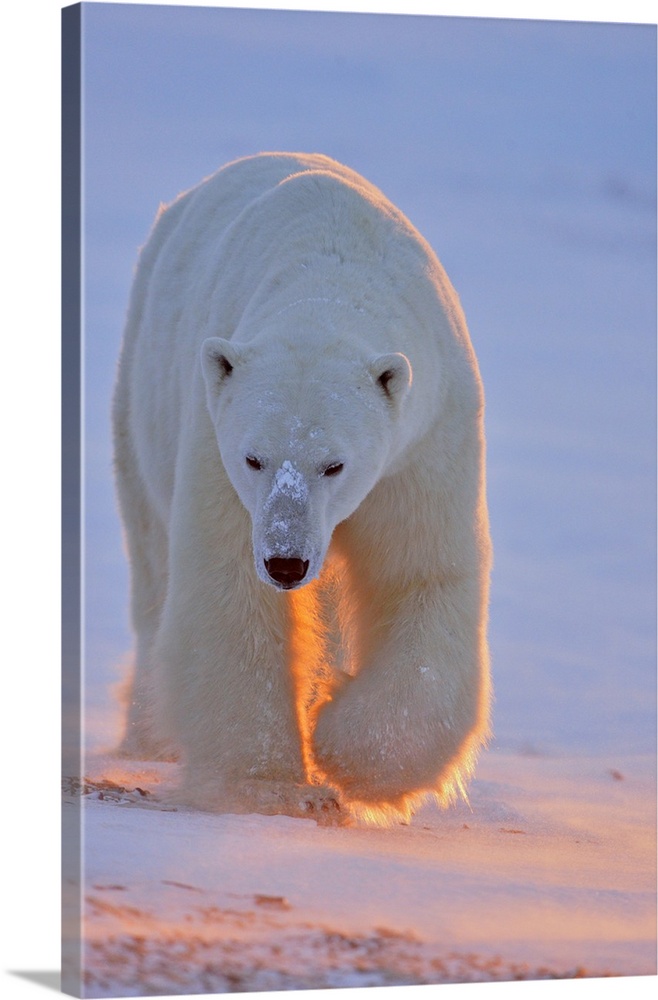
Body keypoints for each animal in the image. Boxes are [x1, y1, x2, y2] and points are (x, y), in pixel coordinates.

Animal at [113, 152, 490, 824]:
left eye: (334, 464)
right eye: (254, 458)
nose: (286, 563)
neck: (329, 279)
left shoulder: (425, 443)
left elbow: (419, 575)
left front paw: (347, 749)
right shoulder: (214, 440)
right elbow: (228, 590)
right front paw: (275, 785)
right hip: (143, 393)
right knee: (155, 568)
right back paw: (150, 737)